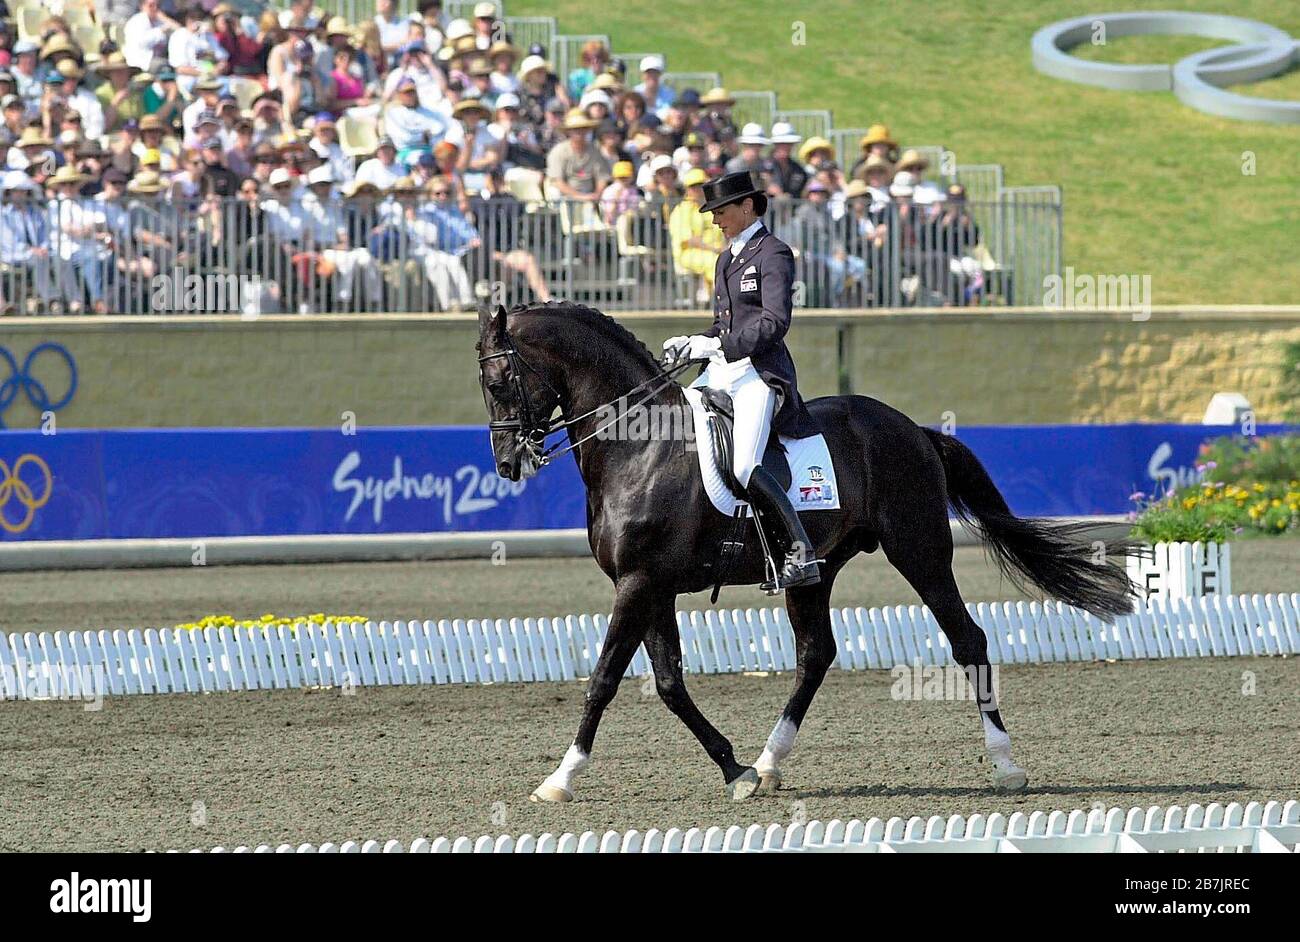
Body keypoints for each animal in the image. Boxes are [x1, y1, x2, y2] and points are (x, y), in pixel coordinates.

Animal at [478, 301, 1138, 800]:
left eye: (498, 380)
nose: (509, 465)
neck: (639, 448)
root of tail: (914, 429)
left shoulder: (638, 584)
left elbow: (604, 678)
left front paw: (560, 778)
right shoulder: (649, 586)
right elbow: (668, 684)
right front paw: (736, 770)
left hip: (919, 551)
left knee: (967, 639)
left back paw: (1005, 764)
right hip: (814, 570)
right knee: (816, 653)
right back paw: (770, 764)